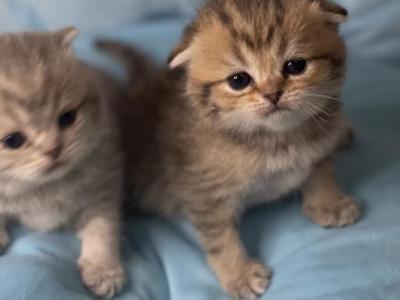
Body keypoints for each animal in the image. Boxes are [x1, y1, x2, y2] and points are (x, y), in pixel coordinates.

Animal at [0, 27, 125, 298]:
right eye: (13, 140)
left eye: (67, 118)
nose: (53, 149)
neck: (41, 189)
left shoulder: (104, 185)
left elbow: (103, 228)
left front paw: (103, 269)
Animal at [99, 1, 360, 298]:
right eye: (238, 80)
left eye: (296, 66)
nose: (272, 94)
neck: (275, 140)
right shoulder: (203, 192)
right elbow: (220, 238)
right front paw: (239, 273)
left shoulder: (319, 144)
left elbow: (321, 170)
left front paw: (329, 202)